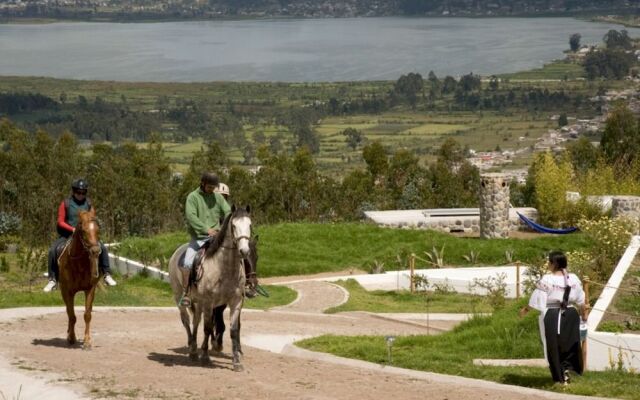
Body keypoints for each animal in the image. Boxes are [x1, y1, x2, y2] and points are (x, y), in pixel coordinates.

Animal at [57, 208, 102, 348]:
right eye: (83, 230)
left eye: (97, 229)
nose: (95, 251)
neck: (79, 263)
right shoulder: (68, 292)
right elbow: (72, 315)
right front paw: (72, 337)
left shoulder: (90, 289)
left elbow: (87, 315)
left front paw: (87, 341)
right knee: (68, 311)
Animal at [169, 206, 251, 372]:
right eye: (234, 226)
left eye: (250, 225)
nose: (244, 251)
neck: (224, 268)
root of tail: (176, 253)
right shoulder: (208, 303)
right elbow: (207, 328)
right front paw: (206, 357)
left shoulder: (235, 302)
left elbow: (234, 331)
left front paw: (237, 361)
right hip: (180, 297)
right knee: (186, 321)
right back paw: (193, 349)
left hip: (198, 303)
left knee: (196, 321)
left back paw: (194, 350)